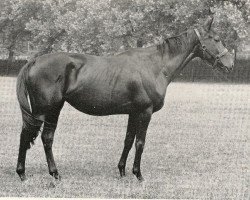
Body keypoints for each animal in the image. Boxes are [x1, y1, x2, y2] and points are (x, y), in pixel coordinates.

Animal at [15, 16, 234, 182]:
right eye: (216, 38)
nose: (230, 64)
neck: (154, 66)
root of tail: (34, 60)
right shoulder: (145, 112)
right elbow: (140, 143)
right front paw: (138, 175)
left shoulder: (133, 112)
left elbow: (128, 140)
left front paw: (121, 171)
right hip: (47, 109)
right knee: (33, 136)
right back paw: (27, 173)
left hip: (52, 109)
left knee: (43, 137)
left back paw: (49, 174)